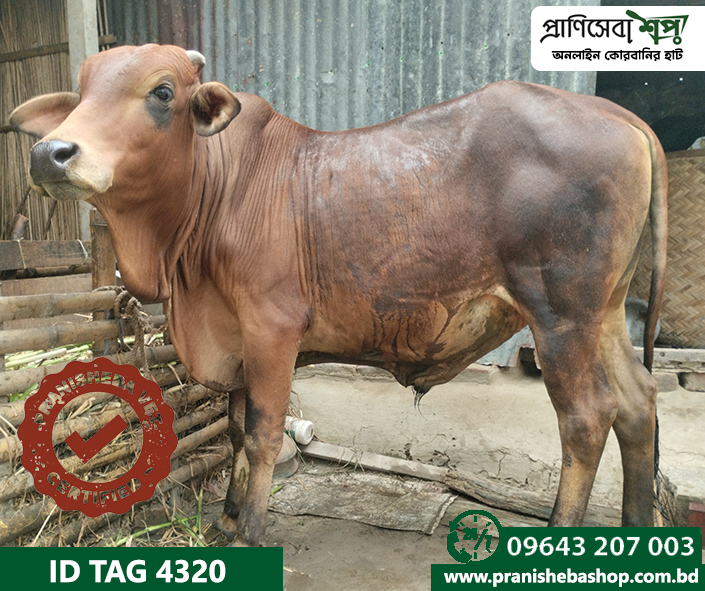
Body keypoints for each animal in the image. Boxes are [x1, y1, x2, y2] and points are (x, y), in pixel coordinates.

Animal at [10, 44, 667, 546]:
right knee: (638, 403)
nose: (49, 152)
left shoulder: (272, 330)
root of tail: (618, 114)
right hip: (605, 314)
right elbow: (234, 430)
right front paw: (226, 520)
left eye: (162, 92)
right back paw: (637, 532)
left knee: (587, 418)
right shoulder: (237, 338)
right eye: (82, 93)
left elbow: (263, 433)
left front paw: (250, 532)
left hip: (561, 316)